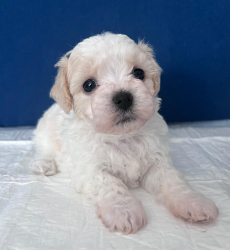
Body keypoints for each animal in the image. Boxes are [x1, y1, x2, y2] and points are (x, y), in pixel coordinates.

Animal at [32, 32, 217, 234]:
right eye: (88, 85)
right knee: (45, 149)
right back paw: (44, 164)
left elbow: (173, 182)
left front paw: (193, 202)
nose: (123, 98)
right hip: (44, 132)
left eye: (139, 73)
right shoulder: (90, 169)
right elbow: (111, 185)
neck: (122, 137)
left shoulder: (158, 162)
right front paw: (124, 211)